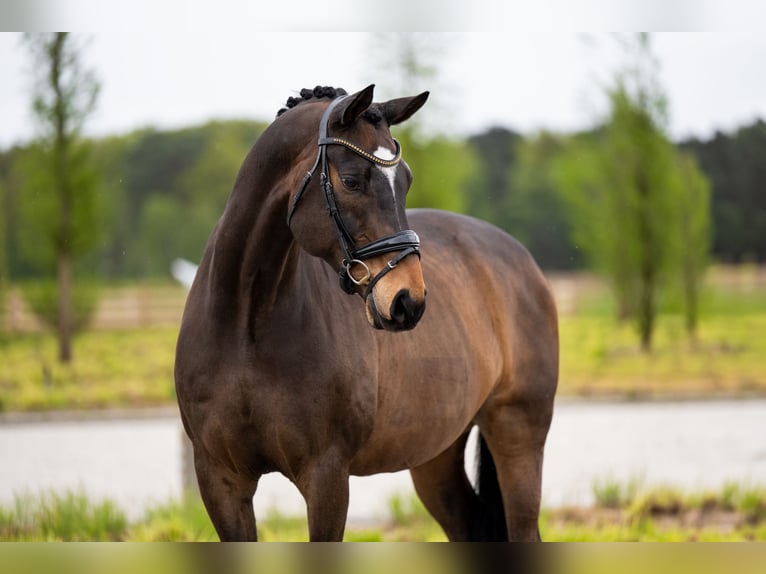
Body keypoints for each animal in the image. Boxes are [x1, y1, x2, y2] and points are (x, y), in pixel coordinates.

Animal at [174, 83, 560, 544]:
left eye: (406, 180)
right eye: (352, 180)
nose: (408, 300)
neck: (246, 324)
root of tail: (522, 260)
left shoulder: (326, 476)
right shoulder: (221, 480)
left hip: (517, 433)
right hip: (436, 455)